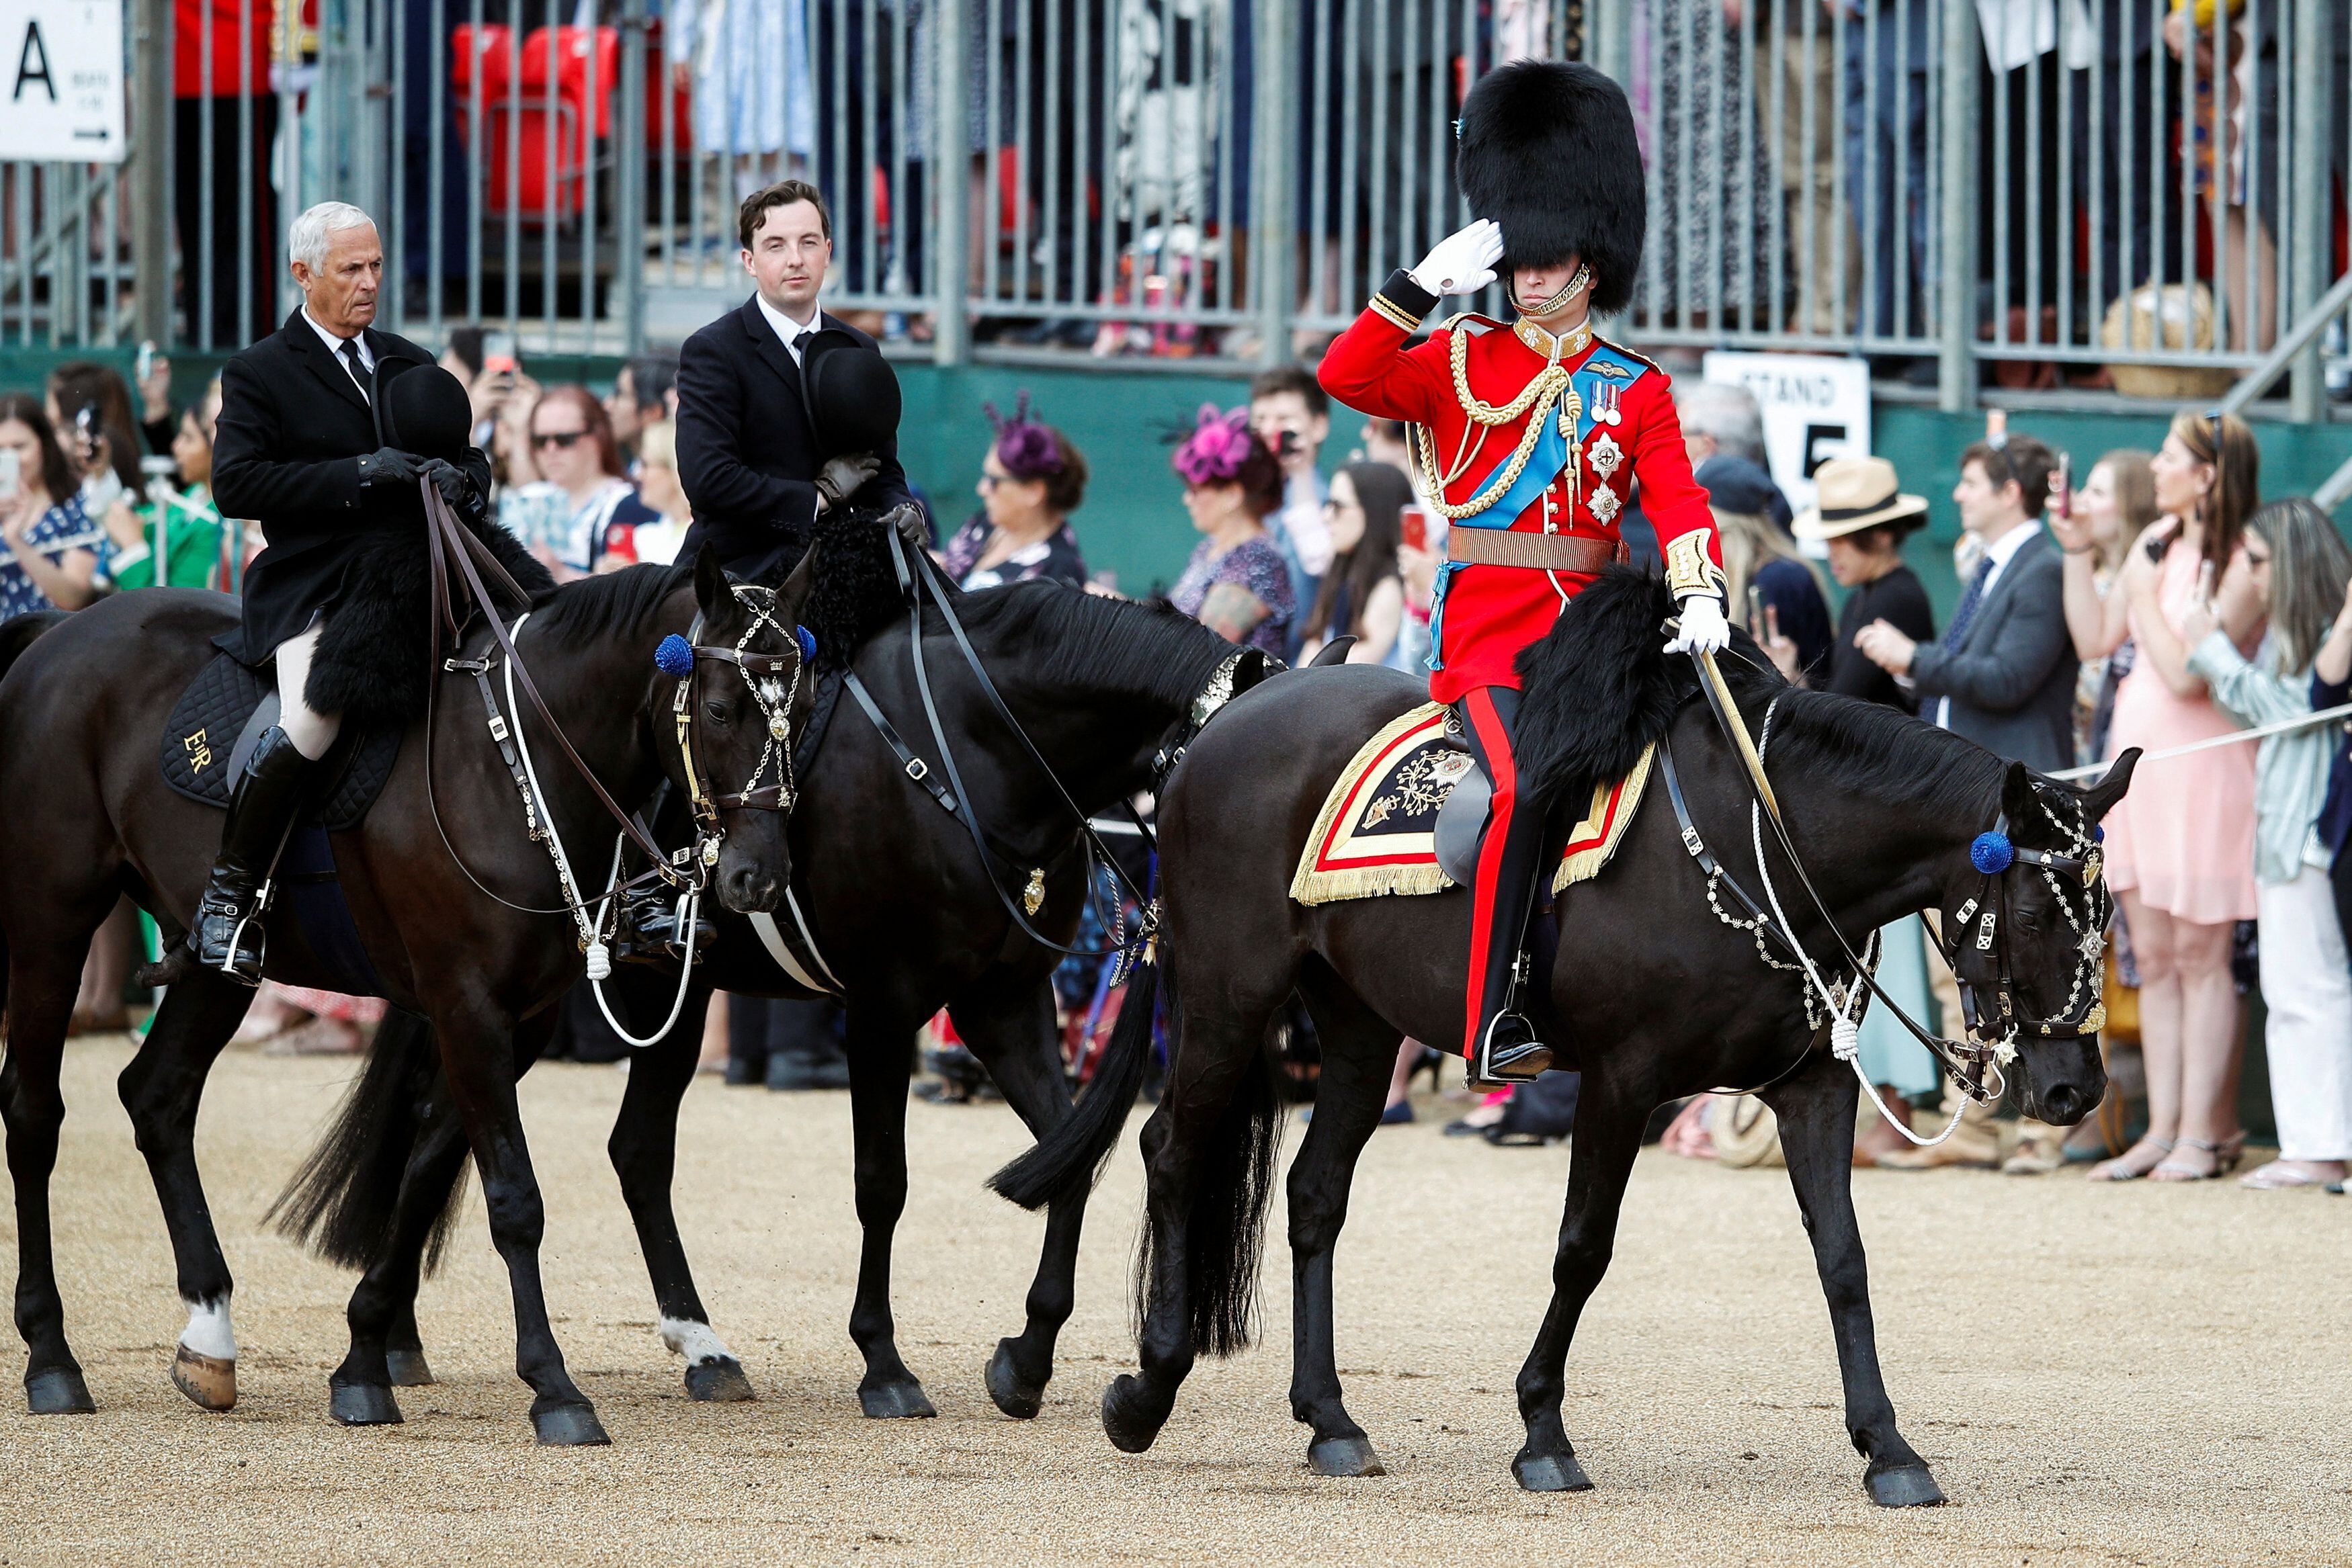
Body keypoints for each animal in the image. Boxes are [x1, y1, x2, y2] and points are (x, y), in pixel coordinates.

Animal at [0, 552, 809, 1448]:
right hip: (52, 921)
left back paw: (209, 1336)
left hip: (217, 969)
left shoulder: (516, 1021)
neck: (514, 768)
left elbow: (424, 1176)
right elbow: (512, 1199)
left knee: (158, 1097)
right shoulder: (466, 1008)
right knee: (34, 1112)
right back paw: (52, 1357)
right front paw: (554, 1388)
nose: (759, 879)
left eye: (805, 709)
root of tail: (65, 628)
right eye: (719, 707)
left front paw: (362, 1362)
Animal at [278, 576, 1261, 1420]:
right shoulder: (884, 1004)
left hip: (632, 1001)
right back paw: (400, 1341)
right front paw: (884, 1362)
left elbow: (1069, 1157)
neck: (973, 750)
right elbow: (882, 1182)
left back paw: (676, 1347)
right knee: (462, 1131)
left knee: (581, 1147)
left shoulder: (1003, 1003)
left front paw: (1025, 1359)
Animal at [1002, 576, 2145, 1504]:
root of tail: (1227, 718)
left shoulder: (1813, 1086)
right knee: (1174, 1153)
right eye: (2039, 911)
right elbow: (1583, 1249)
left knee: (1315, 1191)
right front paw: (1542, 1429)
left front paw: (1889, 1447)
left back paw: (1329, 1418)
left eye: (2108, 914)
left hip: (1361, 1025)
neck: (1760, 842)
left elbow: (1845, 1260)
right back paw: (1146, 1387)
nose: (2074, 1091)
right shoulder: (1623, 1080)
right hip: (1232, 992)